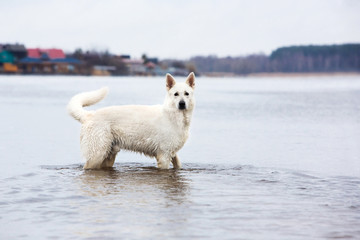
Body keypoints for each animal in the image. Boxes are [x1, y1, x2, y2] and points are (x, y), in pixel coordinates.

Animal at [67, 72, 197, 169]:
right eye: (176, 94)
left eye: (186, 94)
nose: (182, 104)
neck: (175, 116)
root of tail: (89, 115)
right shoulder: (164, 155)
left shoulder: (172, 153)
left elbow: (178, 165)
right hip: (97, 155)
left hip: (108, 156)